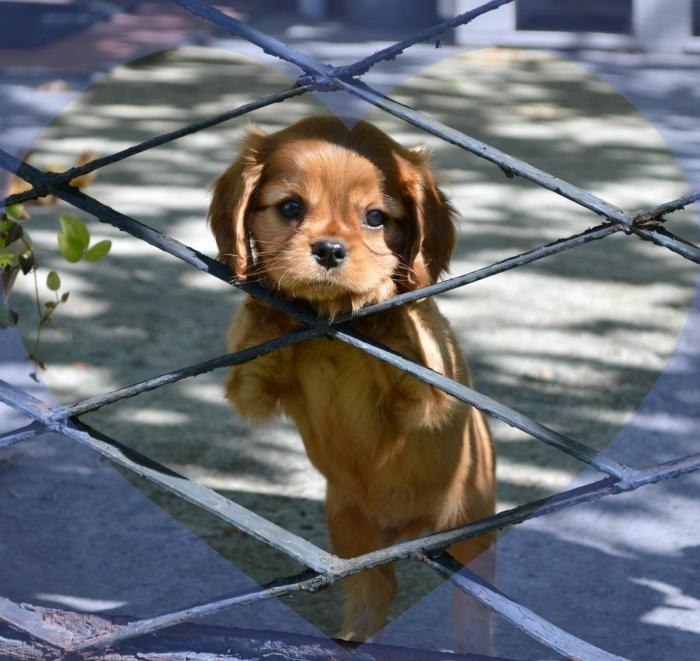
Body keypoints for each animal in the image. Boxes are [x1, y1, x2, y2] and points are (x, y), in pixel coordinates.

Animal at [211, 116, 494, 648]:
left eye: (376, 218)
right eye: (290, 208)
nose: (329, 250)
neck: (332, 332)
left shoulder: (427, 394)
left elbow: (410, 325)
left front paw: (378, 288)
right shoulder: (254, 386)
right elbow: (256, 334)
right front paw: (268, 288)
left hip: (470, 530)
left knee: (473, 608)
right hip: (349, 531)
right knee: (373, 586)